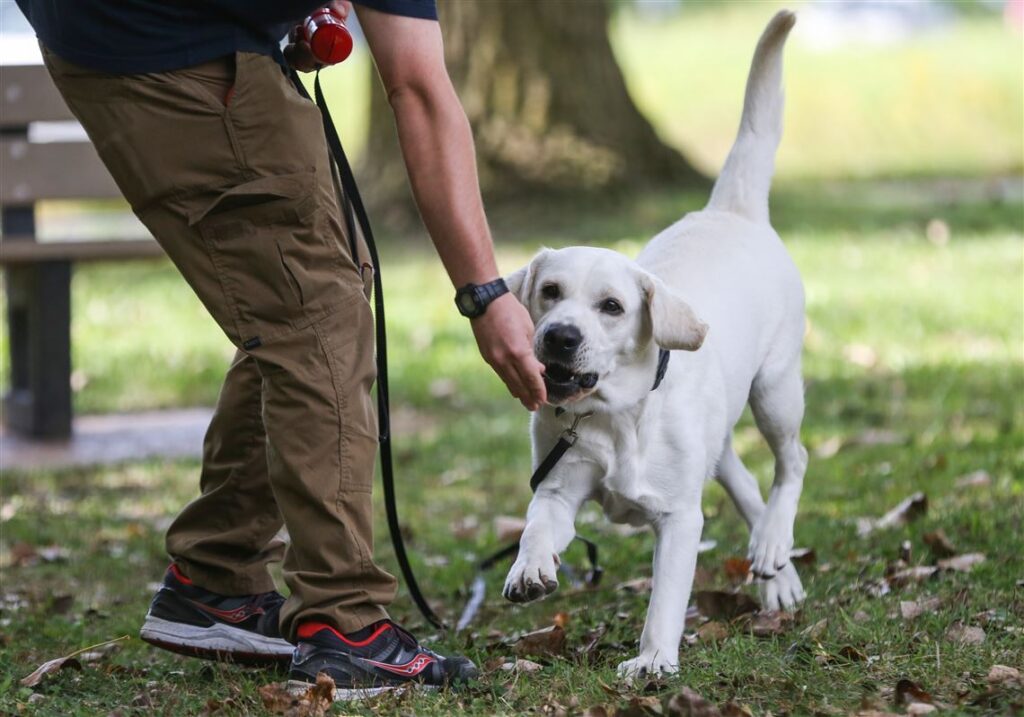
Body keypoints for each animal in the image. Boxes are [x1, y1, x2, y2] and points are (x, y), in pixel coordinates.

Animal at [503, 12, 806, 676]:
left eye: (612, 307)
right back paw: (774, 569)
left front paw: (653, 660)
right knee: (744, 479)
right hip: (719, 436)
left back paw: (774, 538)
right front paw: (528, 567)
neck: (615, 414)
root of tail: (733, 210)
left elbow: (666, 595)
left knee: (791, 461)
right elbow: (537, 523)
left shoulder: (679, 517)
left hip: (775, 390)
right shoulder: (559, 488)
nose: (559, 337)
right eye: (549, 292)